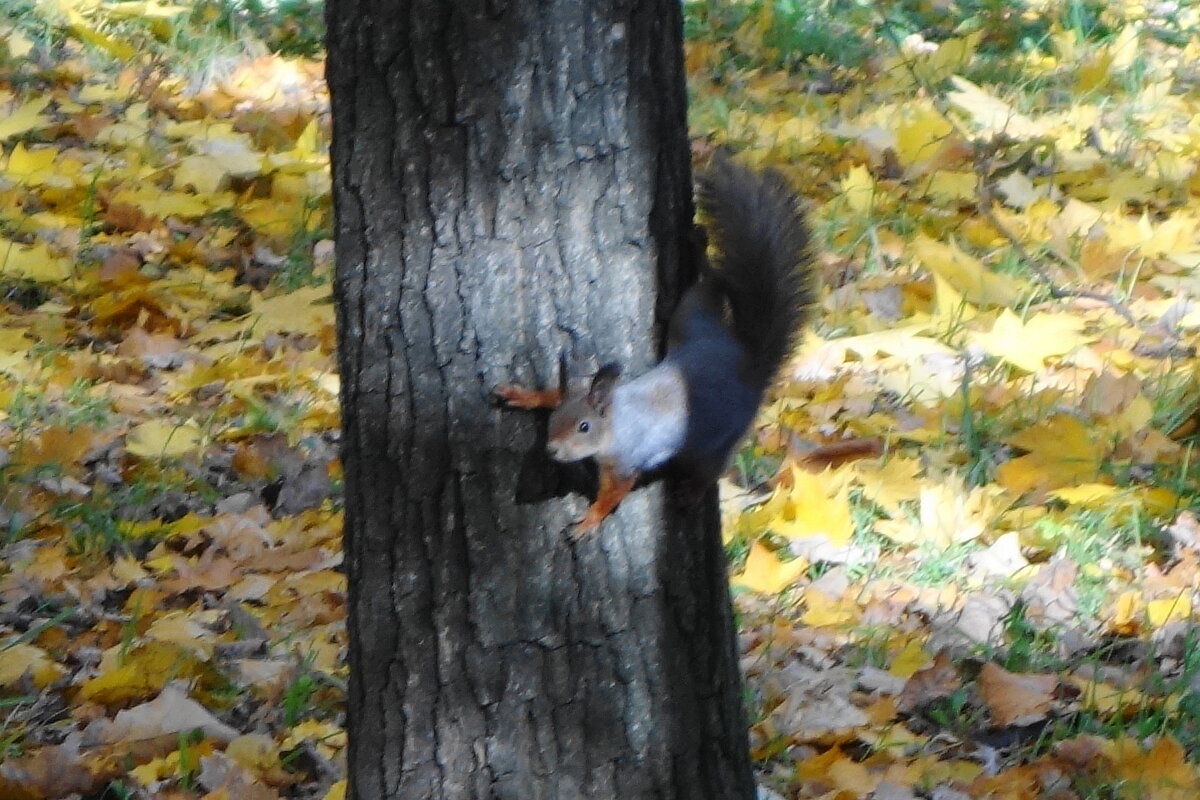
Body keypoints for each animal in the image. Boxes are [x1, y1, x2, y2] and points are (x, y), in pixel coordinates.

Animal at [494, 153, 816, 534]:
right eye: (555, 420)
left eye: (584, 427)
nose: (553, 451)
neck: (615, 418)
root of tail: (749, 364)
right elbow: (557, 391)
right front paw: (523, 395)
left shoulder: (626, 462)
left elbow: (614, 493)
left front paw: (590, 520)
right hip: (690, 318)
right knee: (710, 284)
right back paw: (699, 248)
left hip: (712, 440)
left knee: (711, 468)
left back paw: (691, 493)